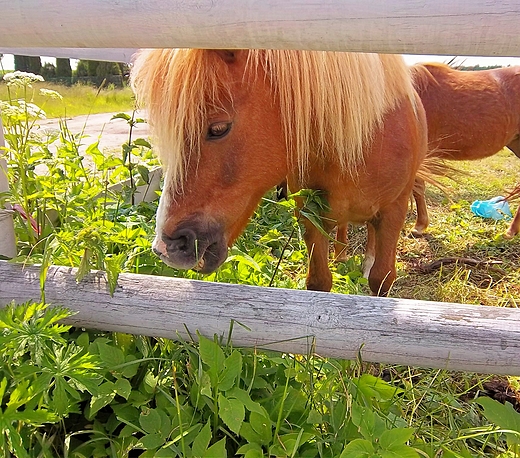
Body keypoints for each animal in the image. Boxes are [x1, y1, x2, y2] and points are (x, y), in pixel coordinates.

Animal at [130, 48, 426, 296]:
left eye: (218, 128)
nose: (168, 248)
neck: (366, 137)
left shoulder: (394, 212)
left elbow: (381, 279)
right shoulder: (310, 215)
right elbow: (319, 282)